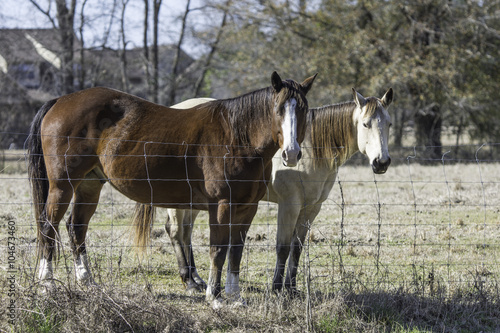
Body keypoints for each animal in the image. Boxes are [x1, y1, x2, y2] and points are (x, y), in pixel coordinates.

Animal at [26, 71, 316, 308]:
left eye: (303, 109)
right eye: (278, 109)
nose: (291, 154)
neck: (237, 139)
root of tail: (60, 101)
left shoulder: (247, 208)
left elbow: (236, 250)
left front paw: (235, 297)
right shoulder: (221, 207)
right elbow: (218, 250)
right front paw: (215, 298)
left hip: (89, 185)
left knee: (76, 228)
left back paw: (87, 281)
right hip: (62, 186)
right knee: (48, 227)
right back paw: (47, 284)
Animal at [154, 89, 392, 294]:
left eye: (389, 123)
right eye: (365, 124)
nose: (381, 162)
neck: (309, 150)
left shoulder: (311, 208)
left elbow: (297, 248)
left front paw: (292, 288)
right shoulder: (289, 206)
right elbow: (283, 247)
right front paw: (278, 288)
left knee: (186, 232)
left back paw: (197, 278)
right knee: (175, 231)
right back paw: (188, 281)